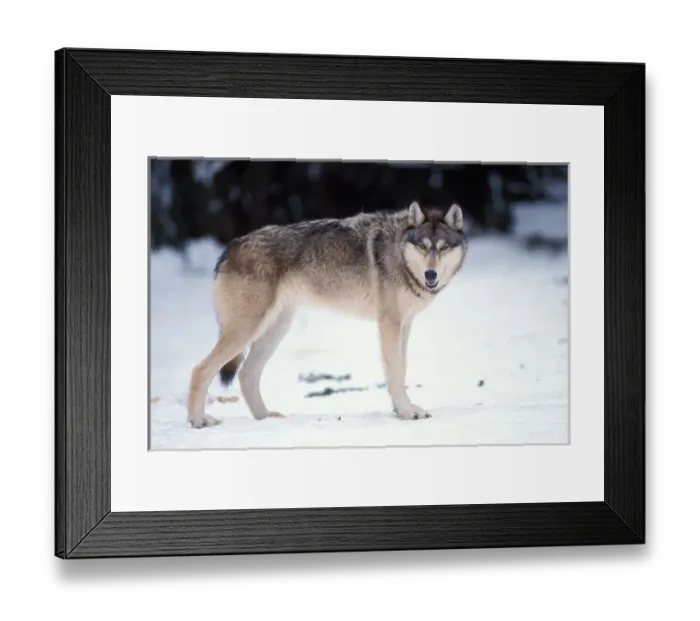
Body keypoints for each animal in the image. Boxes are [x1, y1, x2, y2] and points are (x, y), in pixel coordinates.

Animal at [186, 201, 468, 428]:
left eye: (443, 248)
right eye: (422, 246)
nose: (430, 274)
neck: (399, 253)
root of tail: (229, 248)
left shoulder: (404, 324)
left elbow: (400, 370)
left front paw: (401, 410)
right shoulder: (389, 323)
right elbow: (396, 373)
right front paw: (408, 413)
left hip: (273, 331)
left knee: (246, 375)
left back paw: (265, 417)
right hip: (247, 330)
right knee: (201, 369)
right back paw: (199, 420)